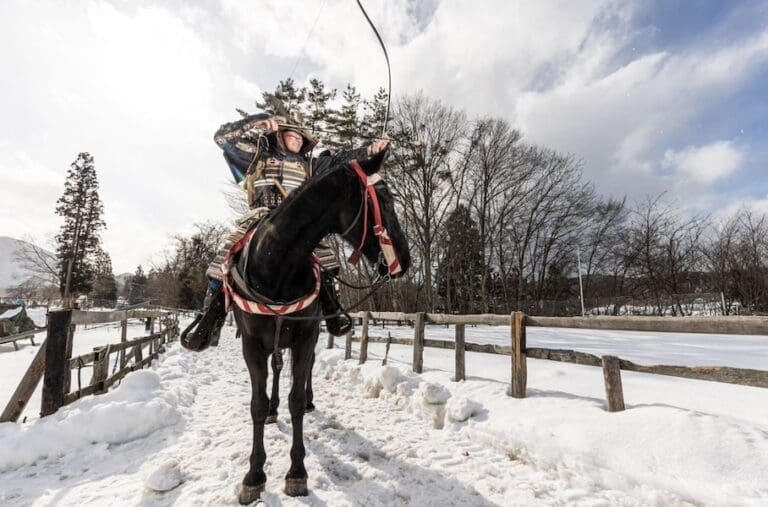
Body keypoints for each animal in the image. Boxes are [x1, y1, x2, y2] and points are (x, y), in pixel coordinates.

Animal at [182, 153, 410, 504]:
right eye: (383, 198)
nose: (405, 259)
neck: (277, 265)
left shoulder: (305, 337)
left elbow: (297, 400)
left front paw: (297, 472)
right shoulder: (253, 345)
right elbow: (258, 403)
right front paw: (254, 475)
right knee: (275, 372)